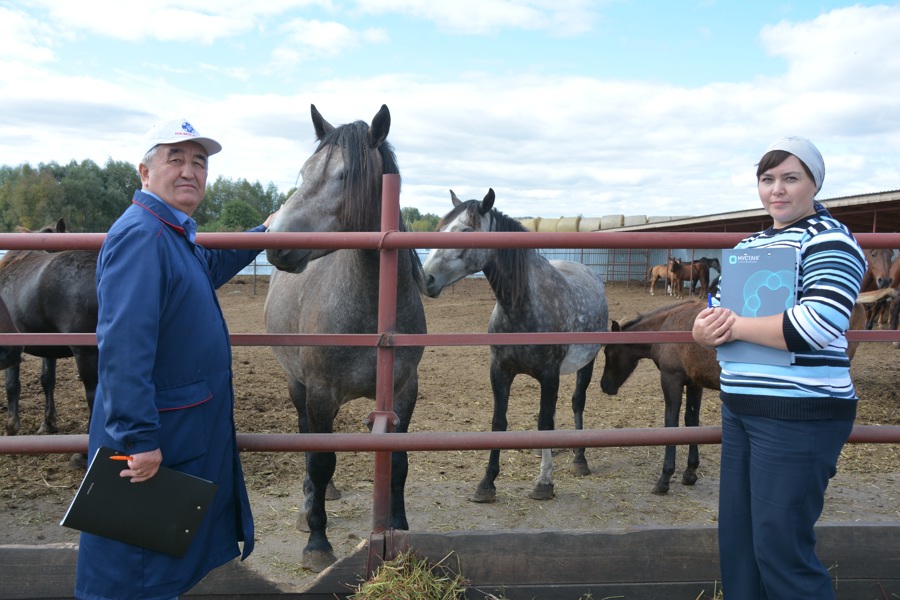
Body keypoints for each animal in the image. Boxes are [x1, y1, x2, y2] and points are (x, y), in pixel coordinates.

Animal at [262, 104, 428, 572]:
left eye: (343, 176)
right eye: (304, 172)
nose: (276, 245)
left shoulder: (403, 390)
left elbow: (398, 462)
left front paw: (399, 527)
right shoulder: (320, 393)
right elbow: (321, 460)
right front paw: (317, 544)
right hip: (298, 385)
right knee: (308, 440)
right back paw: (308, 508)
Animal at [424, 188, 608, 502]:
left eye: (467, 230)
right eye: (440, 229)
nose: (426, 277)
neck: (522, 306)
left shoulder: (549, 374)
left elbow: (545, 420)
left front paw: (544, 483)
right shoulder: (500, 371)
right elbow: (500, 422)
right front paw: (486, 484)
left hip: (586, 364)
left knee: (576, 402)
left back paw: (579, 459)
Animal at [596, 302, 716, 494]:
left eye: (608, 351)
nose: (604, 385)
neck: (665, 327)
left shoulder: (671, 378)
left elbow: (671, 423)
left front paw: (665, 478)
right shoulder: (694, 384)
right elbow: (691, 421)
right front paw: (690, 472)